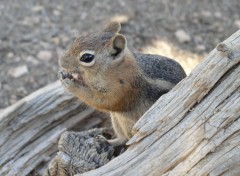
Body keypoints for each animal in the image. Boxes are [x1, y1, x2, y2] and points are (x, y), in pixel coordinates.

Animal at [57, 22, 186, 146]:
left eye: (87, 57)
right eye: (78, 38)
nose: (61, 61)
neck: (116, 69)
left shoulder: (123, 90)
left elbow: (103, 101)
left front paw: (71, 84)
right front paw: (66, 75)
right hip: (116, 119)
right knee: (122, 138)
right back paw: (106, 141)